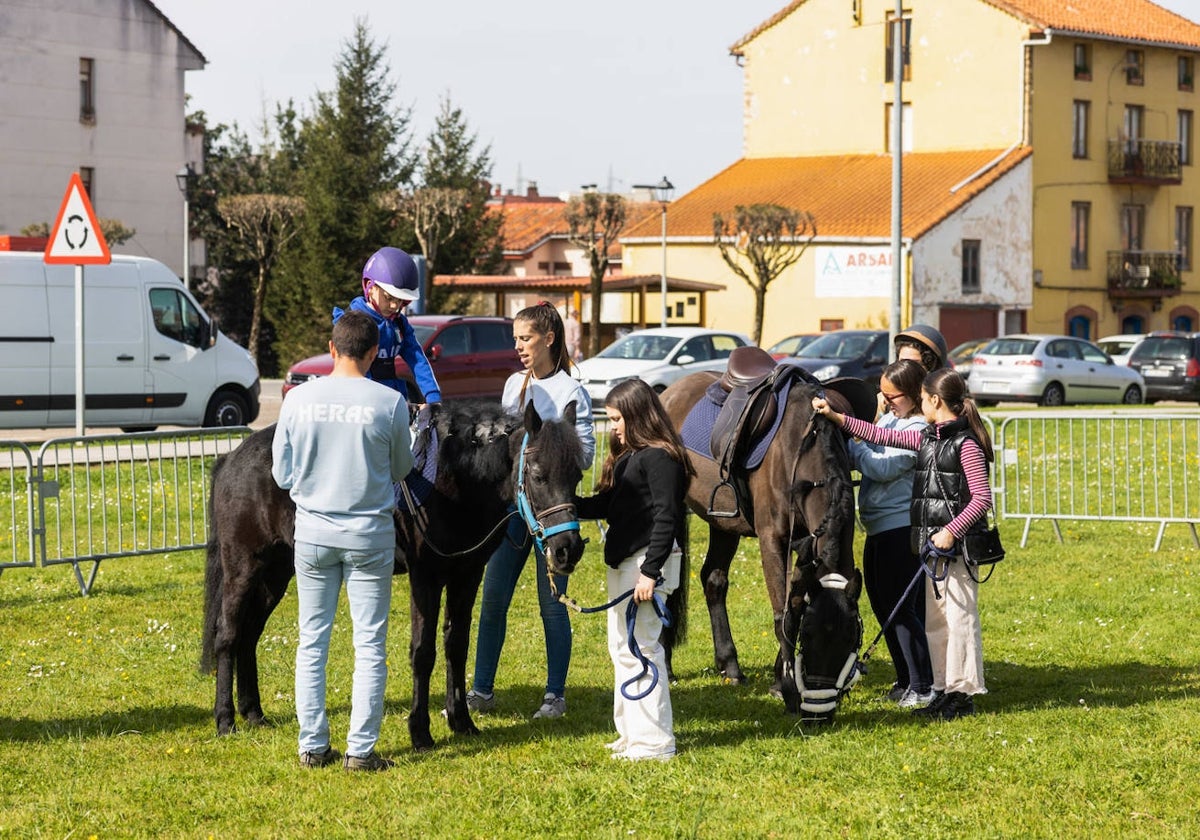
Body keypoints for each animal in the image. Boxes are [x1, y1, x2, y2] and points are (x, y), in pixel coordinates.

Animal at [201, 396, 585, 753]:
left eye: (578, 475)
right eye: (538, 475)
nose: (568, 549)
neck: (455, 478)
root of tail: (231, 459)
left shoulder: (467, 574)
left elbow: (457, 646)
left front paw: (462, 721)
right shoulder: (426, 577)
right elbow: (423, 652)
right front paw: (420, 732)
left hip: (275, 574)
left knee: (249, 636)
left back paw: (254, 713)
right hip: (243, 568)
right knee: (229, 635)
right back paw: (225, 719)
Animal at [657, 369, 864, 720]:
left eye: (851, 638)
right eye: (809, 637)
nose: (819, 711)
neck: (802, 449)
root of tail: (670, 392)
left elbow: (794, 603)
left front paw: (781, 678)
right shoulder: (773, 541)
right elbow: (784, 613)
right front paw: (786, 686)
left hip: (723, 522)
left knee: (714, 580)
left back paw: (730, 666)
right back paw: (667, 667)